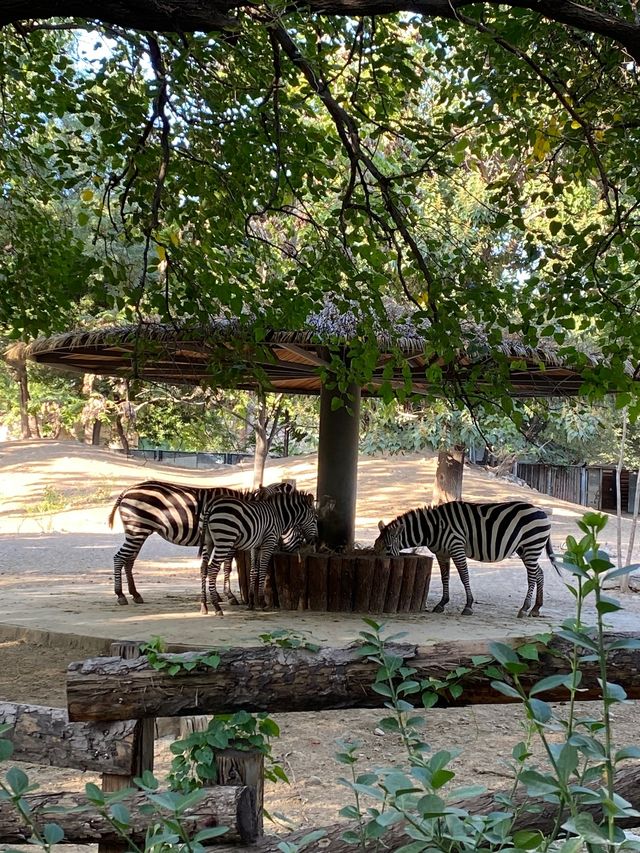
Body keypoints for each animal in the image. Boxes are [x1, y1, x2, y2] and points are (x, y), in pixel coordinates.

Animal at [108, 480, 298, 604]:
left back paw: (135, 594)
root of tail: (128, 489)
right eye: (293, 520)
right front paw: (229, 596)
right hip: (137, 530)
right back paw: (120, 595)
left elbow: (213, 567)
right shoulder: (228, 541)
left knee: (129, 561)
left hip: (139, 532)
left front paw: (218, 596)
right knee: (119, 558)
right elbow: (225, 567)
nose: (291, 550)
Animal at [372, 496, 556, 616]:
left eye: (388, 548)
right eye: (374, 546)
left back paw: (524, 608)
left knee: (532, 576)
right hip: (525, 549)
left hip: (532, 546)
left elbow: (464, 576)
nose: (378, 571)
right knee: (539, 573)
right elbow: (445, 577)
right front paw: (442, 603)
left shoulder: (456, 547)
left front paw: (468, 606)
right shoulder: (441, 553)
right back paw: (536, 608)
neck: (433, 528)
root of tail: (541, 511)